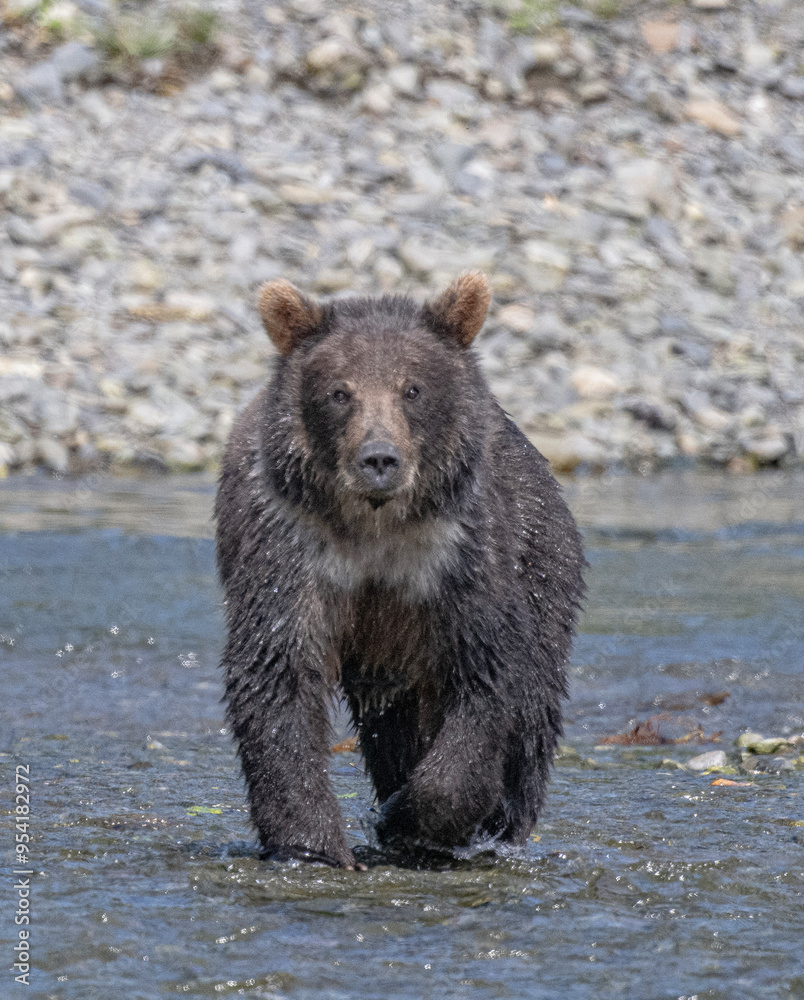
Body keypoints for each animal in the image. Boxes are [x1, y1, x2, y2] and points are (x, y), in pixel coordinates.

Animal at [215, 272, 585, 869]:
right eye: (339, 391)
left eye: (412, 389)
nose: (379, 459)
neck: (376, 529)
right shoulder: (289, 546)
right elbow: (278, 671)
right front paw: (312, 843)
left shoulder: (458, 556)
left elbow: (486, 677)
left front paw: (408, 817)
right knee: (392, 726)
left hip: (542, 557)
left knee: (533, 706)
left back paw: (505, 825)